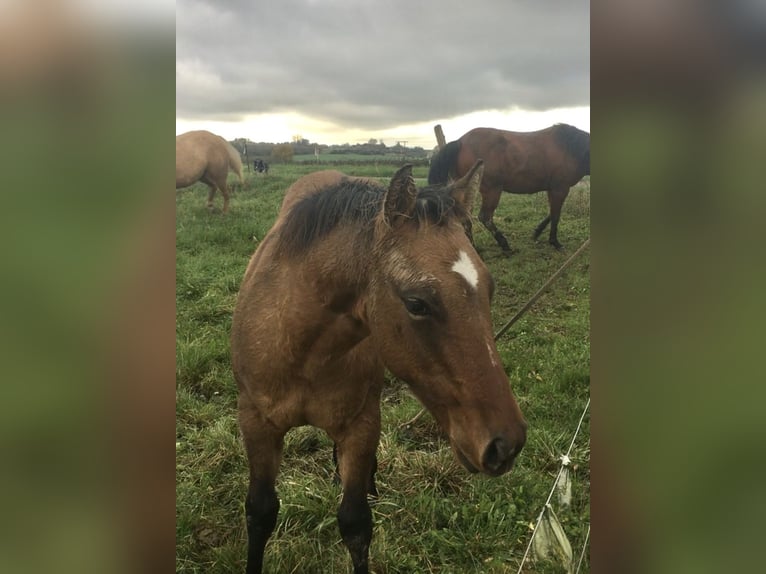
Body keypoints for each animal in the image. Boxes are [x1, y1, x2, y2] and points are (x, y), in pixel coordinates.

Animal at [232, 163, 528, 574]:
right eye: (416, 303)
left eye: (489, 289)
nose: (505, 444)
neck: (301, 347)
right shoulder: (255, 422)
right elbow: (260, 513)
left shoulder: (361, 424)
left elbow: (355, 523)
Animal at [428, 124, 592, 252]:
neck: (569, 148)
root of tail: (461, 142)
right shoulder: (560, 189)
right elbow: (556, 215)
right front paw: (555, 242)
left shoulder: (553, 190)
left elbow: (552, 213)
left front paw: (537, 233)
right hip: (492, 190)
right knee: (485, 217)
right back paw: (504, 244)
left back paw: (474, 248)